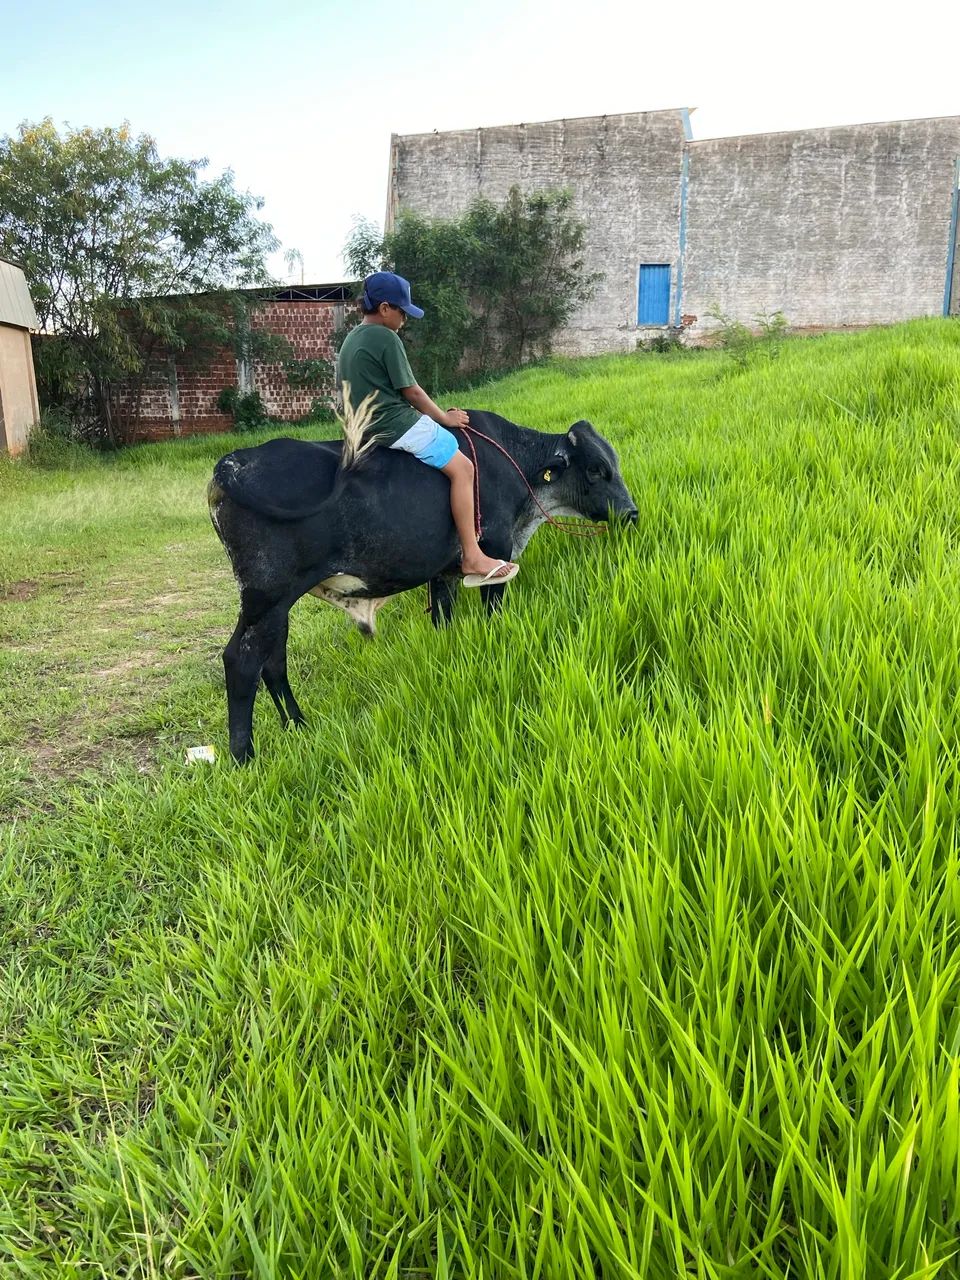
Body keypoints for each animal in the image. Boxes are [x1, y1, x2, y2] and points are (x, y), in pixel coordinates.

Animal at [208, 410, 638, 762]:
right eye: (596, 469)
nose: (632, 512)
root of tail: (233, 462)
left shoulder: (442, 574)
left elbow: (443, 620)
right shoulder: (497, 553)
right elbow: (492, 611)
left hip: (276, 607)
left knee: (273, 662)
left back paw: (298, 725)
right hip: (266, 599)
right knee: (242, 662)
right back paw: (244, 757)